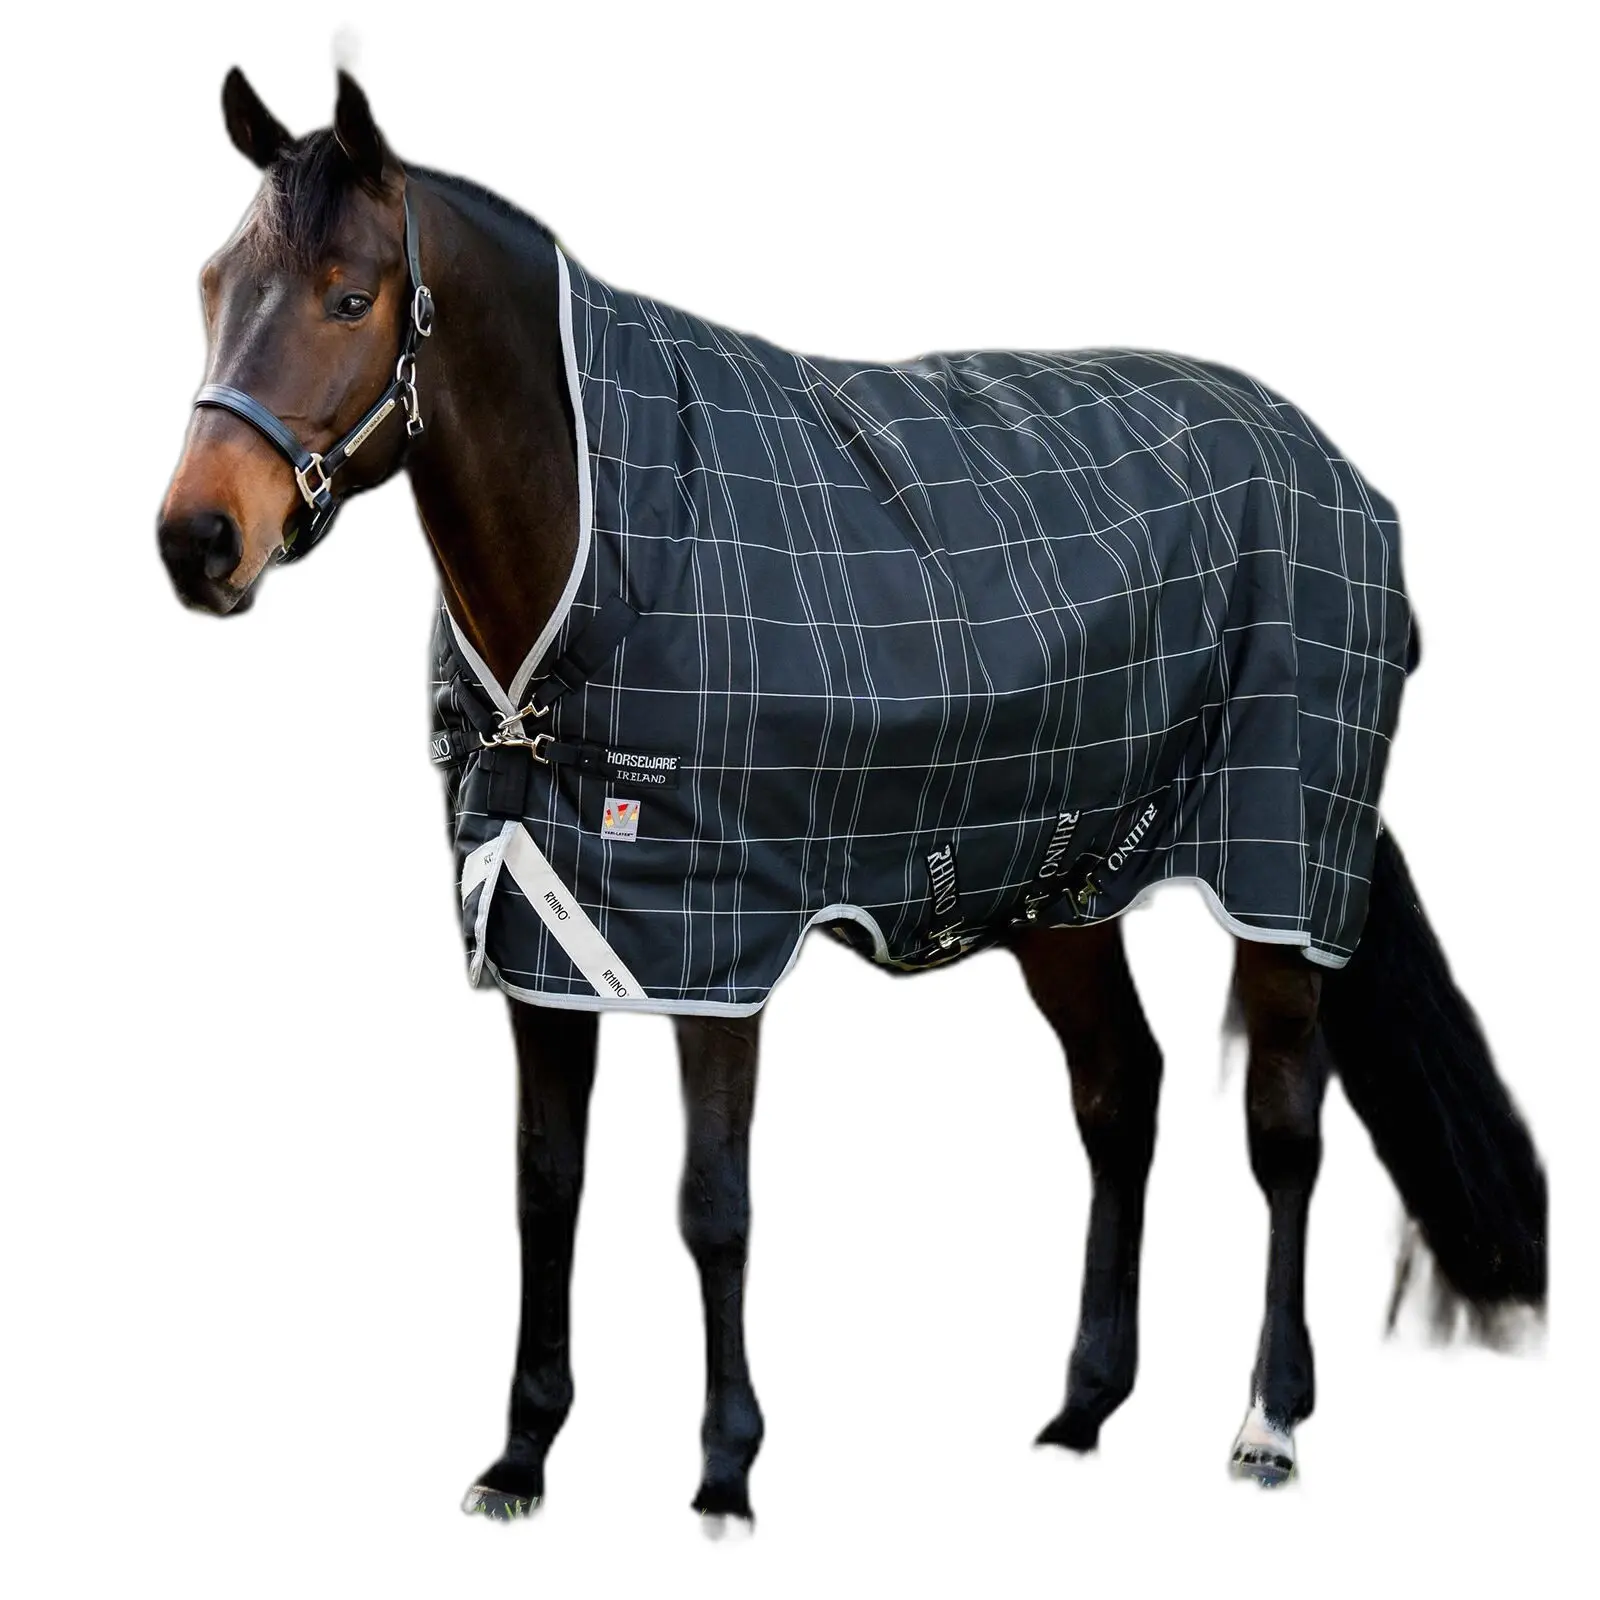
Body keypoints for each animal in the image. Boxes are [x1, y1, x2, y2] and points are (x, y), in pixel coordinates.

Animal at [156, 69, 1547, 1527]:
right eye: (213, 282)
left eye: (349, 296)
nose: (198, 539)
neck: (605, 545)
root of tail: (1340, 475)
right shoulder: (544, 931)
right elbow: (548, 1187)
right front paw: (521, 1456)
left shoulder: (720, 947)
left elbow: (712, 1203)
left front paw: (724, 1472)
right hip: (1066, 882)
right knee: (1122, 1095)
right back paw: (1082, 1408)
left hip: (1281, 873)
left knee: (1284, 1130)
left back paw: (1267, 1420)